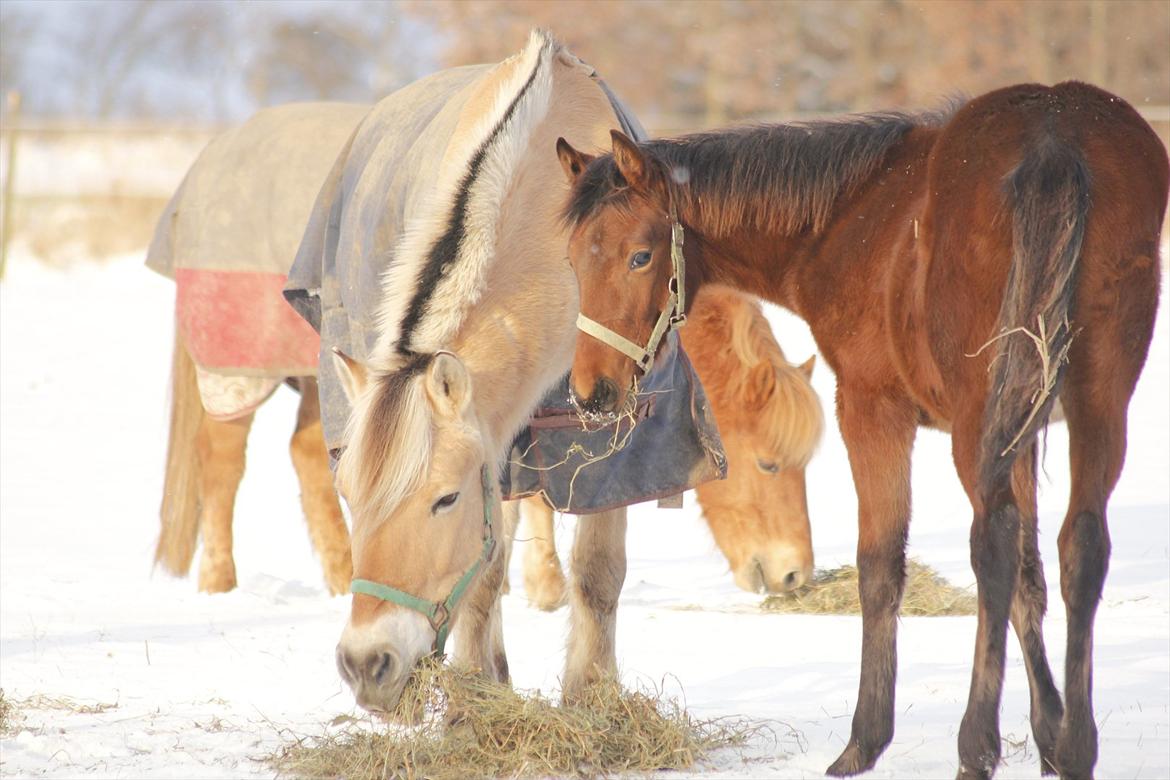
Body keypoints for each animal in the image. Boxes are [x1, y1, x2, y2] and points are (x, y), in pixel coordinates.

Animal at [561, 82, 1165, 776]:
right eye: (574, 260)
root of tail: (1053, 137)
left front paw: (863, 740)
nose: (592, 391)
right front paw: (1048, 734)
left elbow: (881, 566)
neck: (848, 216)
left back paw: (975, 745)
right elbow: (1031, 580)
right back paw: (1077, 746)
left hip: (982, 419)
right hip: (1096, 408)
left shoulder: (871, 407)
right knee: (1079, 548)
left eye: (640, 256)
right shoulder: (1028, 429)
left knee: (992, 542)